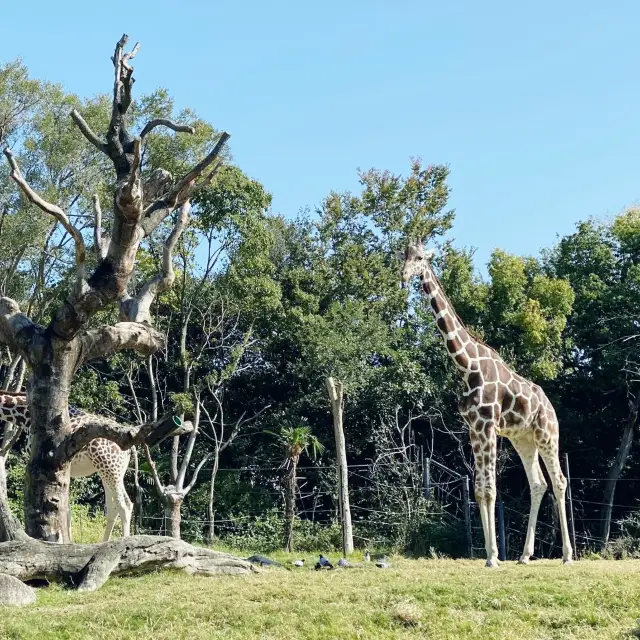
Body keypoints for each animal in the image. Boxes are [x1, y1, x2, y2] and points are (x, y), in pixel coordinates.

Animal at [0, 390, 132, 540]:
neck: (24, 415)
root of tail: (129, 450)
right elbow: (66, 510)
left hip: (110, 468)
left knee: (124, 506)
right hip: (111, 471)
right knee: (113, 508)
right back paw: (105, 542)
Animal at [398, 240, 572, 564]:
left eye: (420, 258)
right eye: (403, 257)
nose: (404, 276)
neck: (467, 366)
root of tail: (551, 407)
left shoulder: (488, 425)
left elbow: (491, 489)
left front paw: (493, 557)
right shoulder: (473, 428)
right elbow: (479, 489)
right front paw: (491, 554)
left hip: (546, 434)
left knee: (559, 481)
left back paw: (567, 555)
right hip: (523, 439)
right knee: (538, 483)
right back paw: (524, 555)